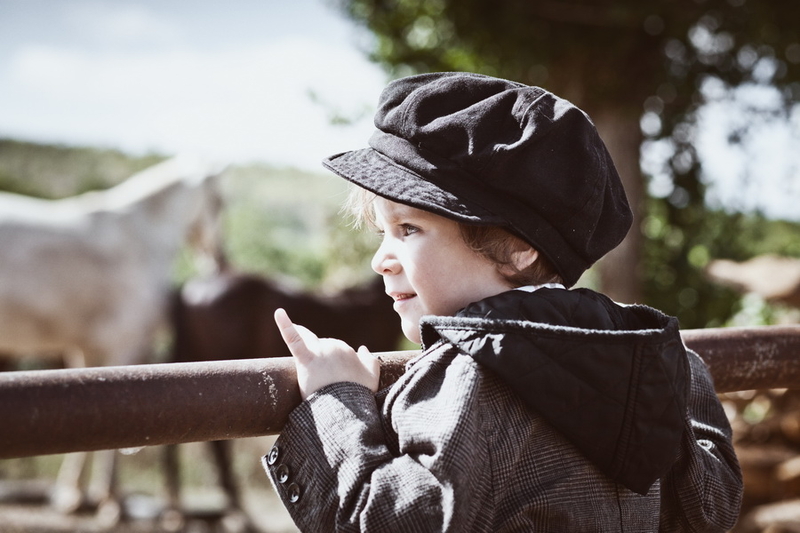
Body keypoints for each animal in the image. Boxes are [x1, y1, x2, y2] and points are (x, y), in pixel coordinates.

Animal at [0, 154, 228, 520]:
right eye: (220, 202)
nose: (219, 260)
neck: (141, 239)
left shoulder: (88, 350)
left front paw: (74, 495)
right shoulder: (124, 347)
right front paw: (110, 501)